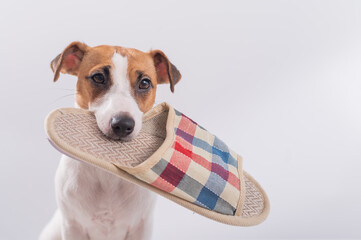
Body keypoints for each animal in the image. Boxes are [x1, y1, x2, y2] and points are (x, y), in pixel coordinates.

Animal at [39, 42, 181, 239]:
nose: (122, 124)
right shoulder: (73, 226)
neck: (108, 175)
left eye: (145, 83)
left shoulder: (141, 226)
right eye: (98, 77)